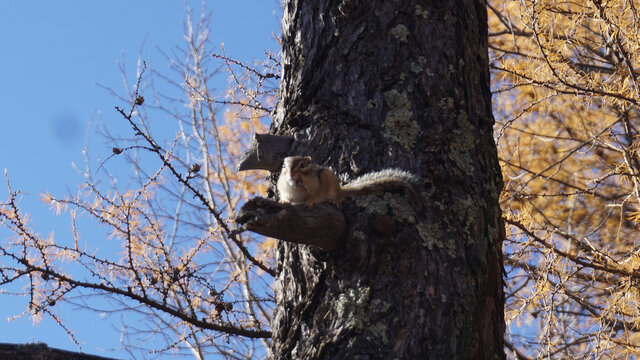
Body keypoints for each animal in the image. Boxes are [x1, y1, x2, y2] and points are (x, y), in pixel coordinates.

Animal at [276, 155, 420, 208]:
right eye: (283, 166)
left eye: (302, 165)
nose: (291, 173)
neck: (295, 185)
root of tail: (340, 190)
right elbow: (286, 197)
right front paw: (284, 201)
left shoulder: (316, 187)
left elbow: (314, 196)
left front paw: (309, 202)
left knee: (337, 197)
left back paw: (333, 200)